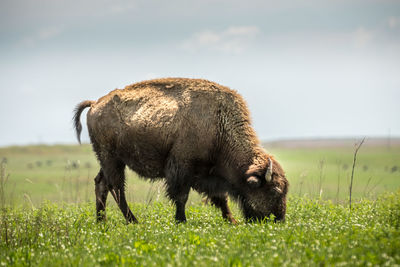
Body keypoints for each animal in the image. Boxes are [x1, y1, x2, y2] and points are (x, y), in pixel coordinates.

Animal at [73, 78, 290, 224]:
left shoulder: (210, 174)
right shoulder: (181, 168)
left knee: (102, 184)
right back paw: (132, 221)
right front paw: (181, 220)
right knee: (116, 188)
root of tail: (95, 103)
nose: (279, 219)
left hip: (108, 160)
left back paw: (101, 221)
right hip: (111, 158)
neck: (219, 124)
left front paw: (231, 221)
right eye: (274, 191)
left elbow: (221, 198)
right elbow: (181, 196)